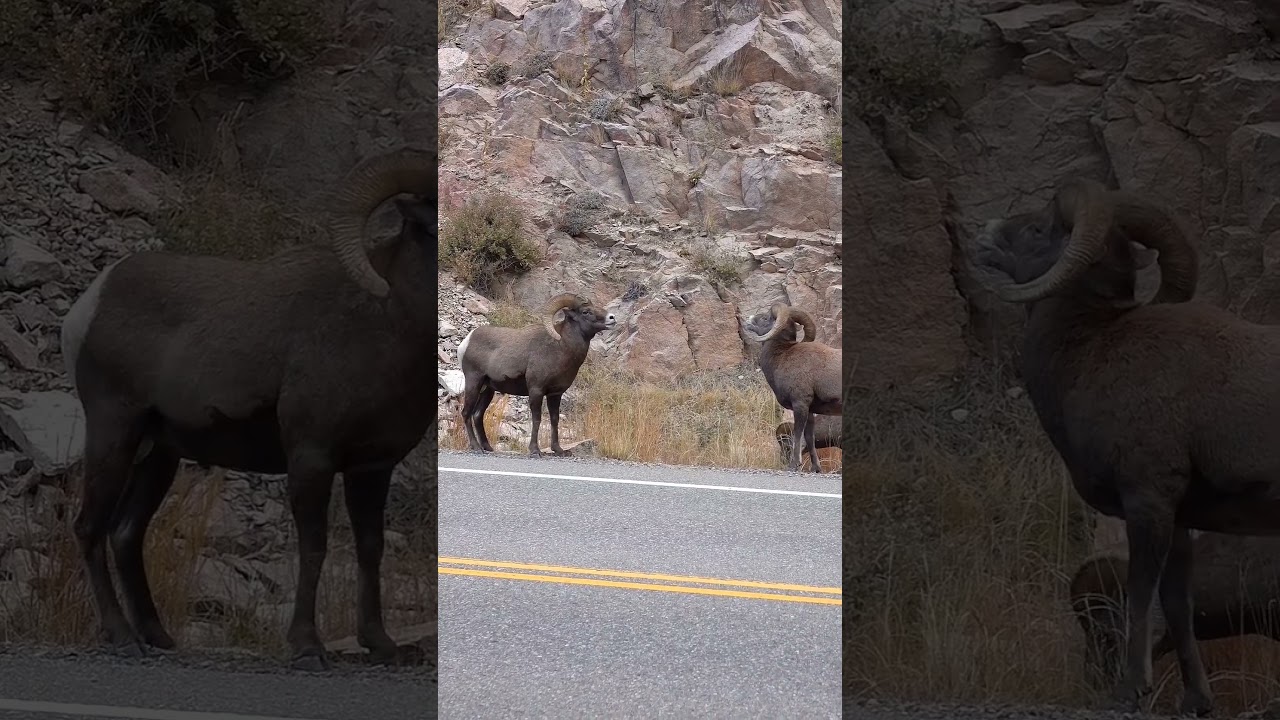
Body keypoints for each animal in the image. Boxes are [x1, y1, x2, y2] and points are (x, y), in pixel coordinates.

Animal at [59, 145, 436, 671]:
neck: (384, 323)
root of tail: (89, 305)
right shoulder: (312, 457)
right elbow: (315, 548)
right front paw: (307, 647)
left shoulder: (372, 468)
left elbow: (370, 549)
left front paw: (382, 645)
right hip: (114, 433)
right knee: (90, 528)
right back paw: (122, 637)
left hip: (159, 455)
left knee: (126, 532)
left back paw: (158, 636)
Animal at [456, 293, 616, 457]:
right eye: (585, 312)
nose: (612, 318)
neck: (560, 347)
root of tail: (466, 342)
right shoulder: (536, 390)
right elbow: (537, 419)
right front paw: (535, 450)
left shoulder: (555, 394)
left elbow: (554, 420)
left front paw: (558, 450)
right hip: (474, 383)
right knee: (466, 413)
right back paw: (476, 447)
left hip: (488, 390)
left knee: (477, 415)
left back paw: (487, 447)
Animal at [742, 303, 842, 473]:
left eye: (765, 318)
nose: (747, 320)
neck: (782, 357)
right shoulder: (810, 411)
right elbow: (809, 438)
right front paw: (816, 468)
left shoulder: (799, 405)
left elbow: (797, 435)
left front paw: (794, 465)